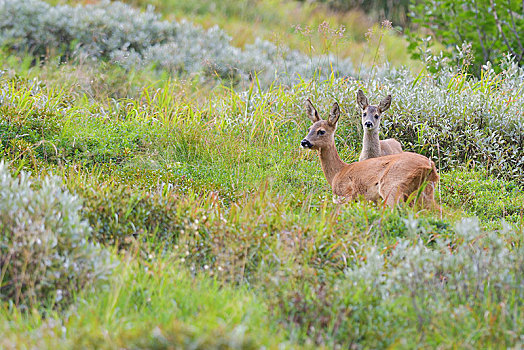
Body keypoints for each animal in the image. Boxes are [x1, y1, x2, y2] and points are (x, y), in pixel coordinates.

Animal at [298, 98, 438, 208]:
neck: (337, 172)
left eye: (321, 131)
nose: (304, 142)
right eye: (309, 129)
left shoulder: (347, 195)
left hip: (392, 187)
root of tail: (430, 166)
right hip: (425, 192)